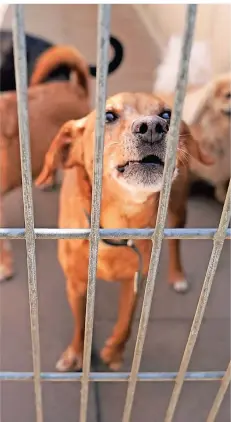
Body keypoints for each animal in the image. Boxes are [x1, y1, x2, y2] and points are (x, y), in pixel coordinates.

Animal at [35, 92, 211, 370]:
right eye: (108, 115)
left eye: (166, 114)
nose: (153, 127)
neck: (117, 227)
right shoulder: (75, 284)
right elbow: (80, 323)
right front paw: (76, 353)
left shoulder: (136, 281)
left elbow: (126, 322)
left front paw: (114, 352)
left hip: (178, 206)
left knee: (175, 243)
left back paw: (178, 275)